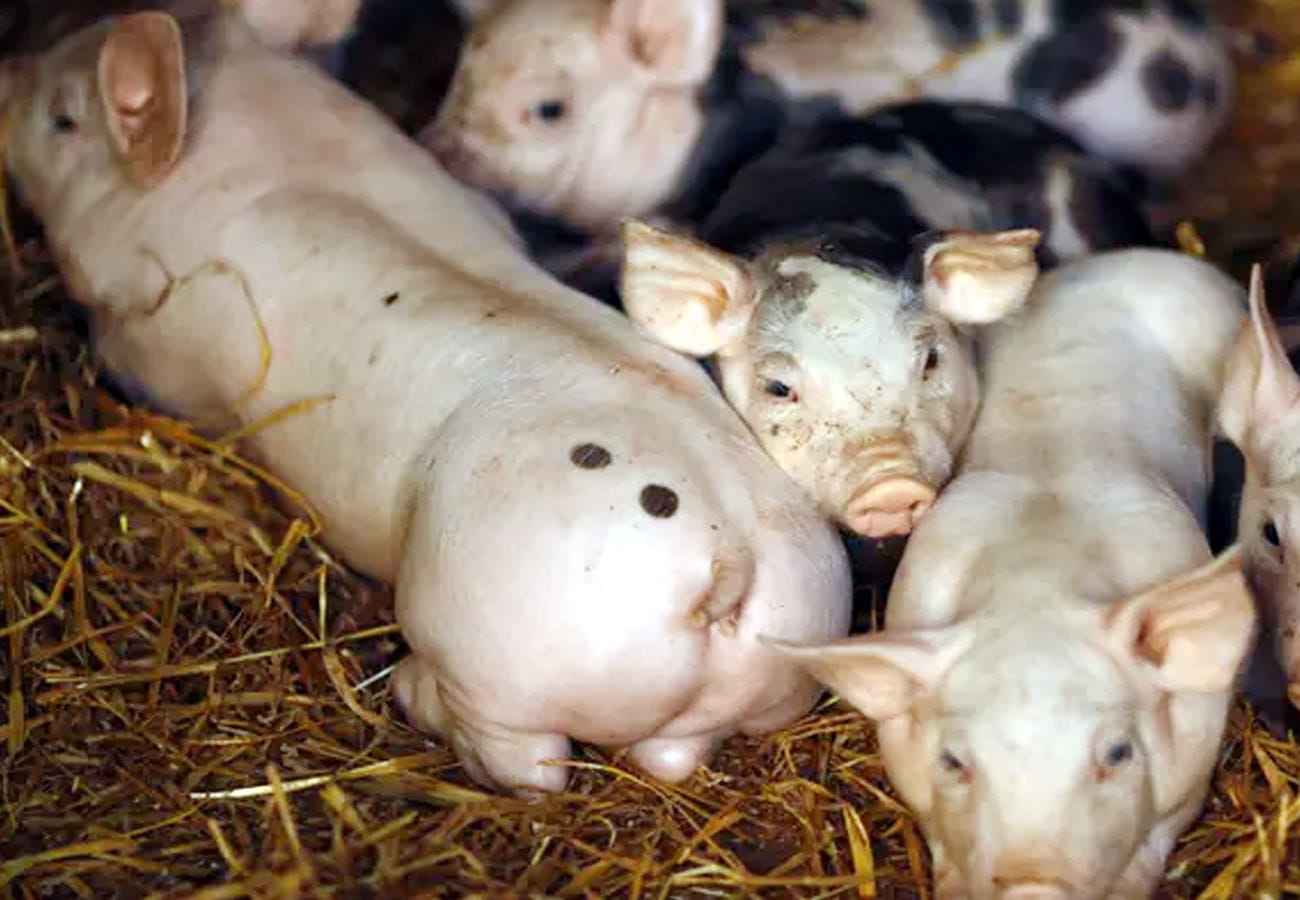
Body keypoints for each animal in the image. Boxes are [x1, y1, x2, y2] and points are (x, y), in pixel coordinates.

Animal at [0, 6, 874, 795]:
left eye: (63, 117)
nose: (11, 70)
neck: (273, 154)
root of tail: (730, 559)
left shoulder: (163, 354)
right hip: (785, 650)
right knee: (670, 757)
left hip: (499, 646)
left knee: (530, 768)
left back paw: (411, 693)